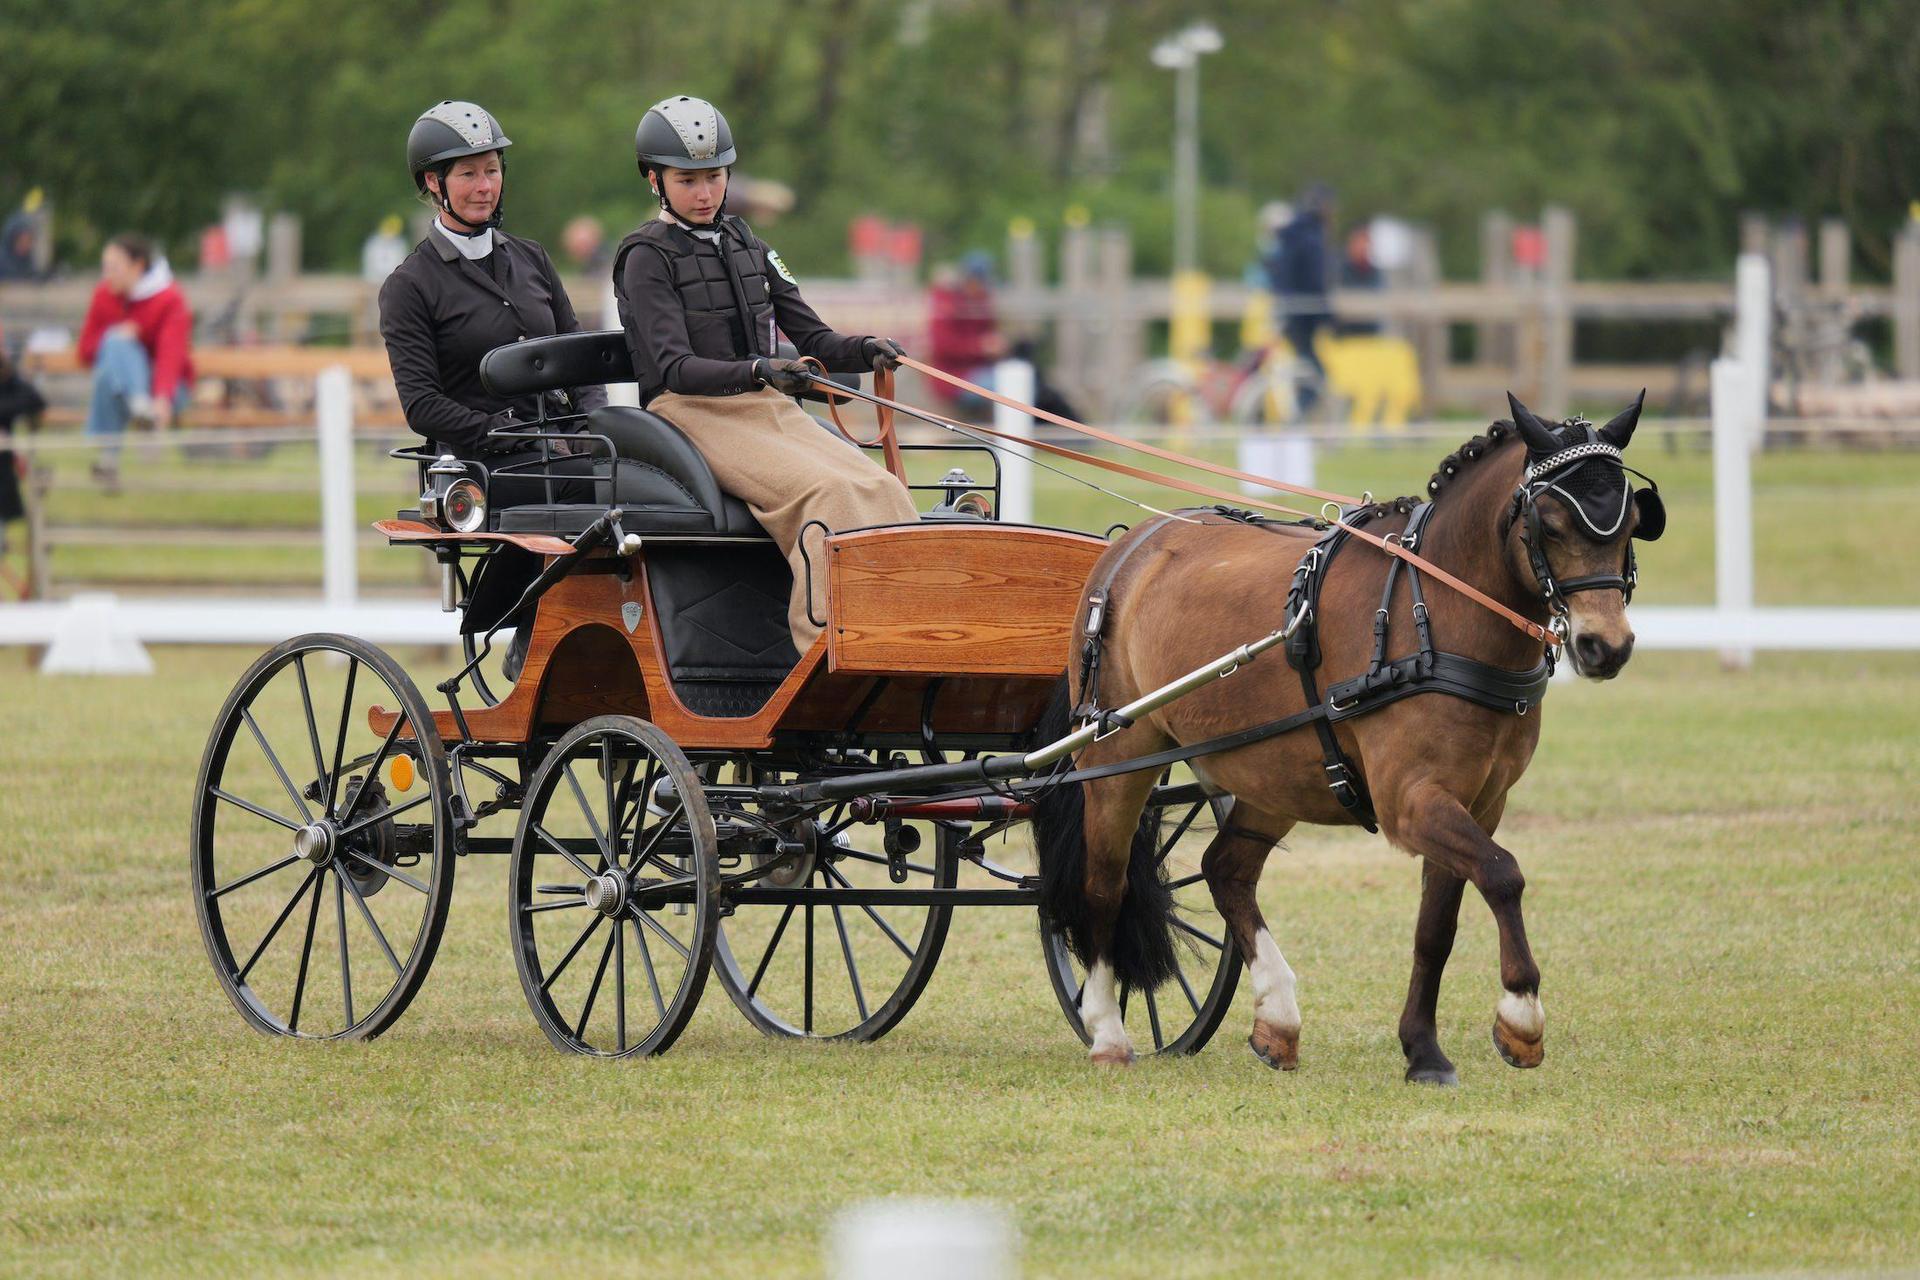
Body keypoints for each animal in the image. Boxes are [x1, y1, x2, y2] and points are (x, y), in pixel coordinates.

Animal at [1032, 393, 1665, 1082]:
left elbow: (1436, 928)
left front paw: (1423, 1050)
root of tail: (1129, 549)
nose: (1605, 646)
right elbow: (1503, 875)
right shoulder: (1411, 801)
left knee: (1224, 869)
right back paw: (1107, 1031)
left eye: (1633, 523)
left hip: (1272, 773)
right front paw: (1521, 1017)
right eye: (1548, 525)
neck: (1435, 613)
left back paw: (1277, 1018)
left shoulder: (1477, 802)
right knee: (1104, 885)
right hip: (1118, 754)